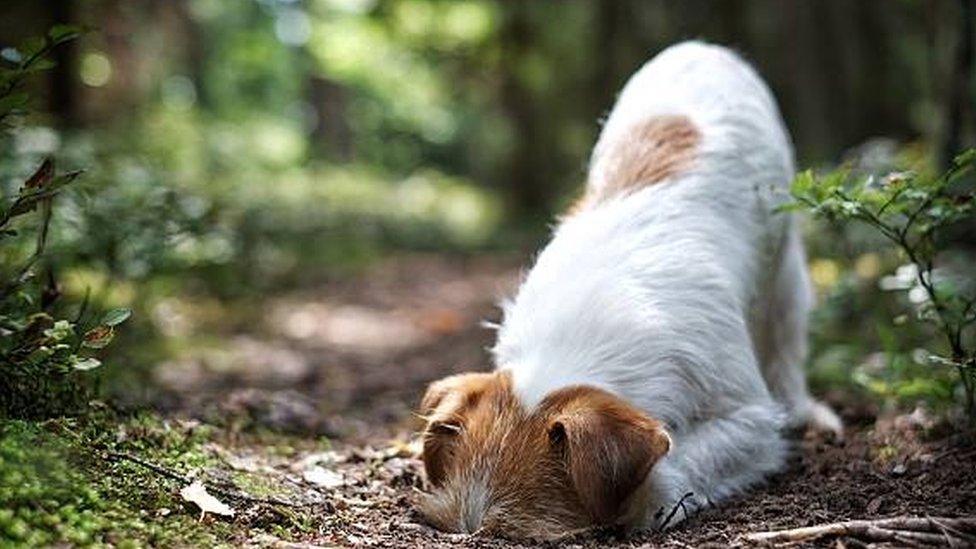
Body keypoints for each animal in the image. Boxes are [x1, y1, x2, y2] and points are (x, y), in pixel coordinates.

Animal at [416, 42, 844, 540]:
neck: (576, 341)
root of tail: (700, 46)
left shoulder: (750, 420)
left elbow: (687, 458)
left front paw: (648, 498)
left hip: (785, 264)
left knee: (785, 336)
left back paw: (806, 410)